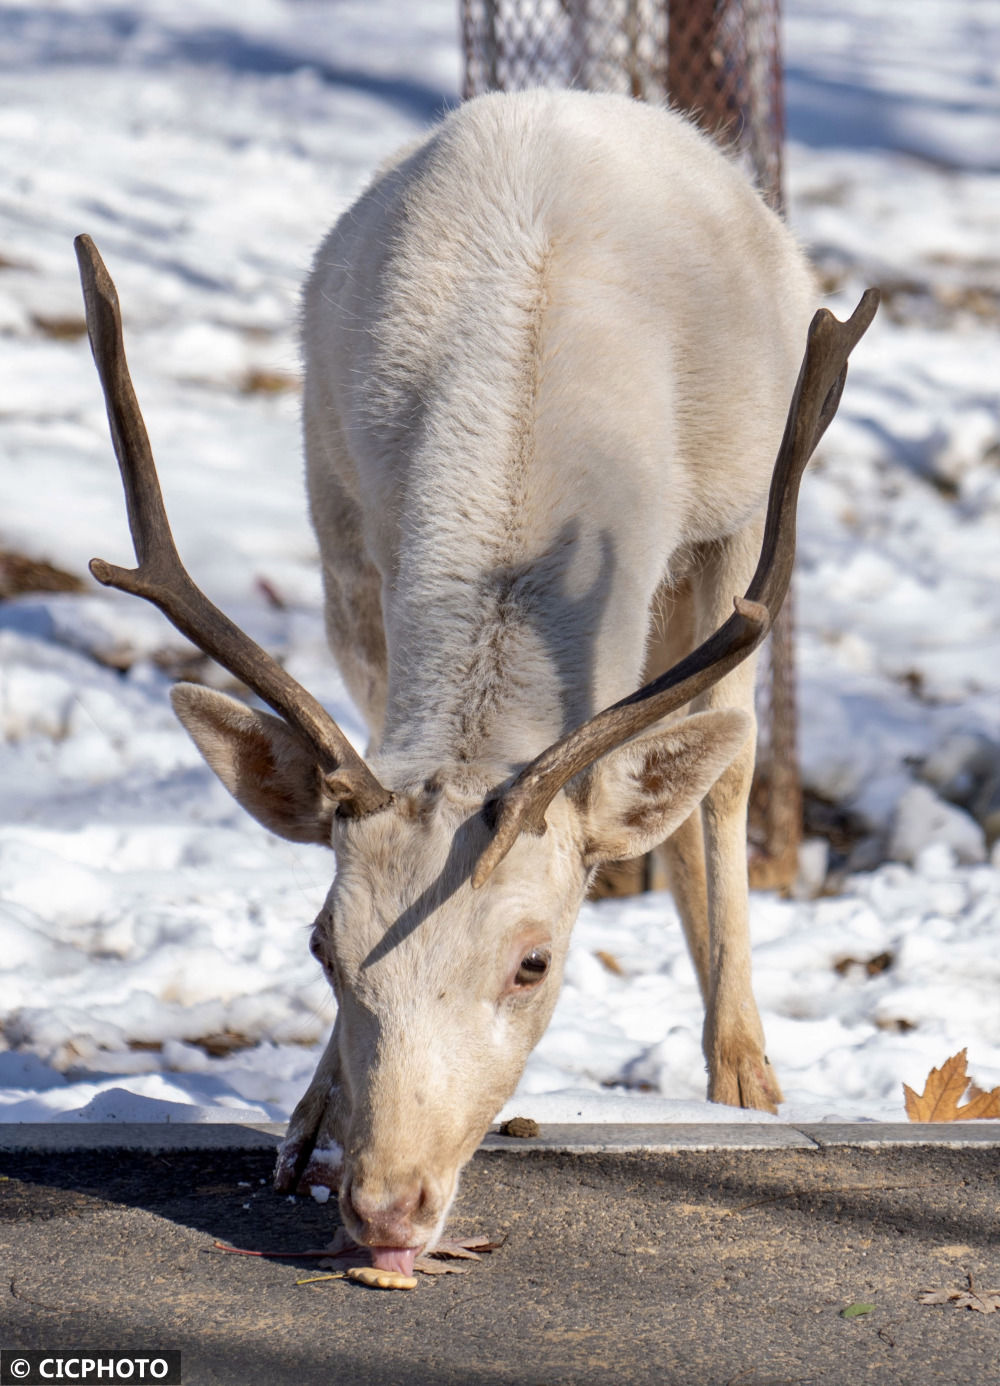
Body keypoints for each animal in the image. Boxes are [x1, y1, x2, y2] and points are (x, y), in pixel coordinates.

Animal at [75, 89, 875, 1275]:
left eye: (534, 963)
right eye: (321, 946)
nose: (386, 1209)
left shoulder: (736, 521)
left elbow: (719, 780)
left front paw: (747, 1084)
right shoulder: (349, 529)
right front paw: (310, 1117)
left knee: (710, 781)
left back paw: (737, 1070)